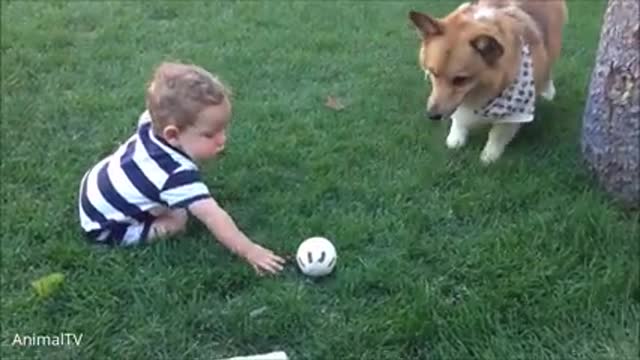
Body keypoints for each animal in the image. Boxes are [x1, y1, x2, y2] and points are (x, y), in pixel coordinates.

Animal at [408, 0, 568, 163]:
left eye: (460, 80)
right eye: (433, 73)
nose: (432, 116)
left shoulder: (515, 112)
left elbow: (497, 134)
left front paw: (489, 156)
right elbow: (459, 118)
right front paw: (456, 138)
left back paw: (548, 90)